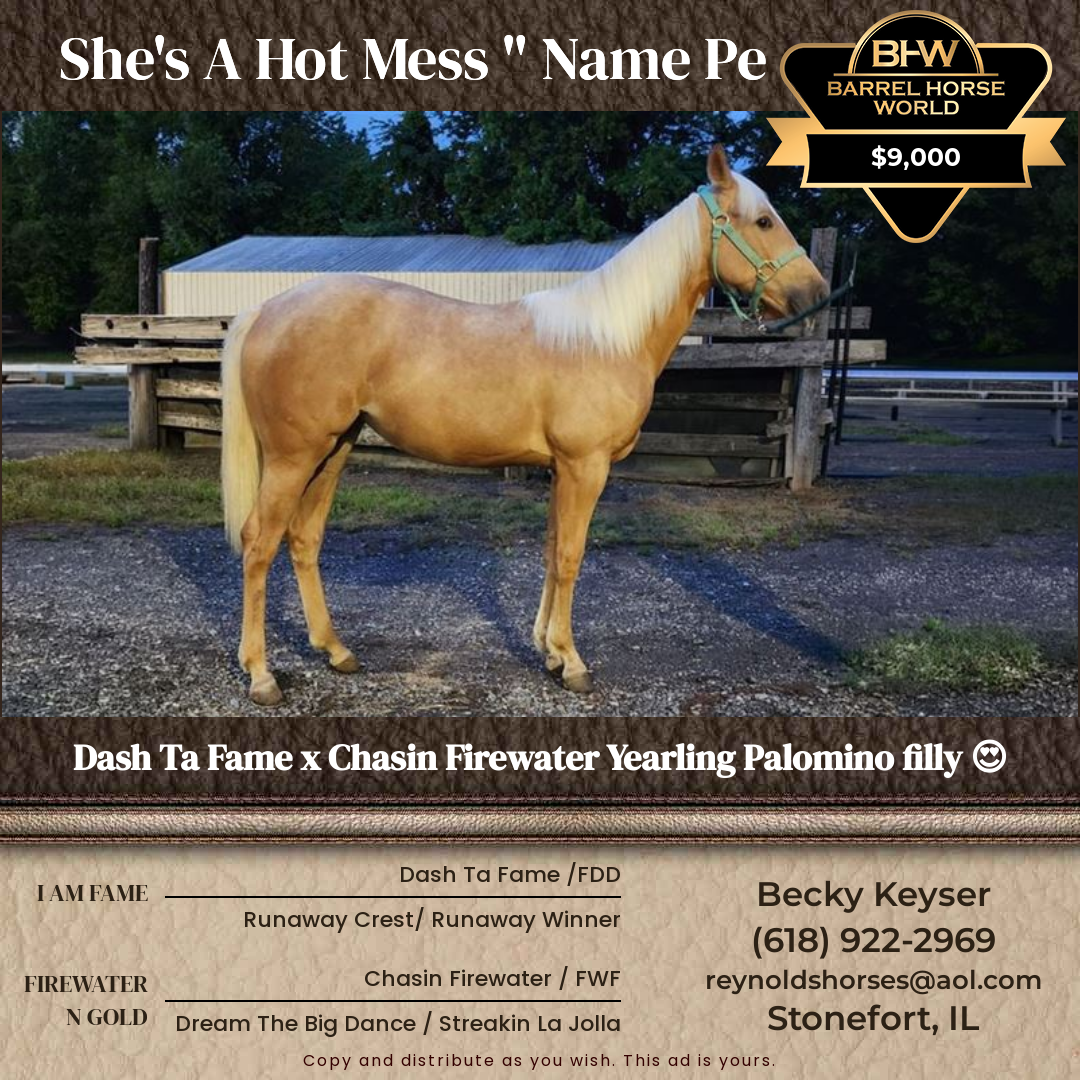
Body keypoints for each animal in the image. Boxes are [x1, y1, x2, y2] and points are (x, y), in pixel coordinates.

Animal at [220, 145, 828, 706]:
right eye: (764, 220)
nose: (818, 293)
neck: (607, 337)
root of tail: (266, 310)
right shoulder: (586, 467)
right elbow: (571, 556)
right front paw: (573, 662)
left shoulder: (562, 469)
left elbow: (551, 551)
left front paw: (549, 651)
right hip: (294, 457)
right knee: (258, 543)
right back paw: (261, 675)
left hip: (334, 450)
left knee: (303, 539)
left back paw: (336, 651)